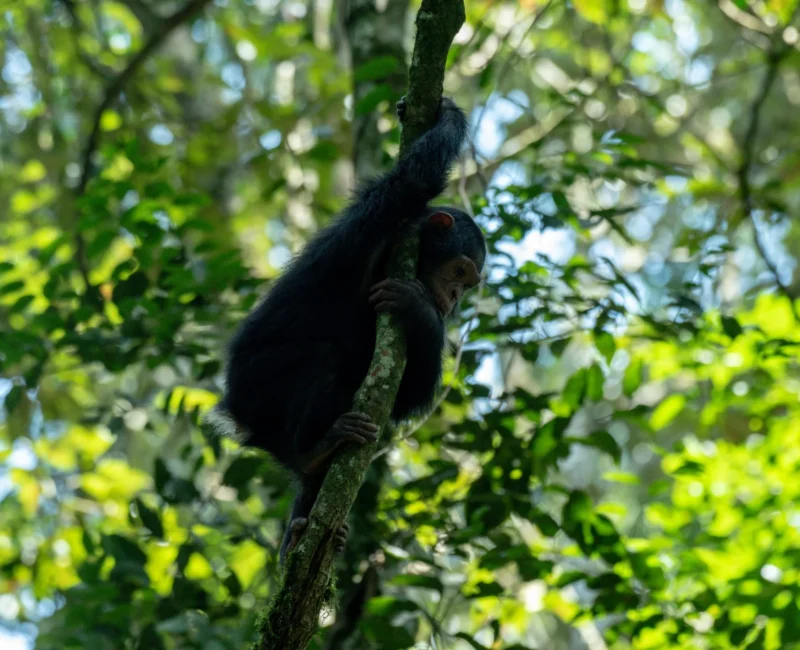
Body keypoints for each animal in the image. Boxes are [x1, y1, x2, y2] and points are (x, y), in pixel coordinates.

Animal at [218, 96, 486, 561]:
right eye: (459, 271)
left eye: (468, 284)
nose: (454, 297)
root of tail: (238, 417)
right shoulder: (379, 216)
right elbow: (415, 178)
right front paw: (448, 114)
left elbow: (407, 392)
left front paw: (419, 309)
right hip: (253, 385)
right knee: (324, 359)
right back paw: (314, 450)